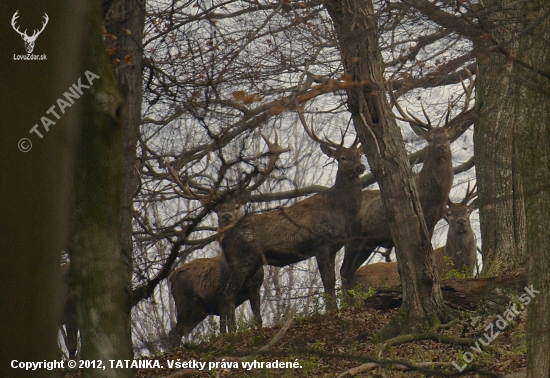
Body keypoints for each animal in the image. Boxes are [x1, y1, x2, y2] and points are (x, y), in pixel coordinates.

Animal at [340, 68, 478, 290]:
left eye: (448, 137)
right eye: (429, 139)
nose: (441, 147)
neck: (430, 198)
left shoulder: (430, 223)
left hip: (366, 244)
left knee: (348, 271)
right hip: (352, 238)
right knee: (343, 271)